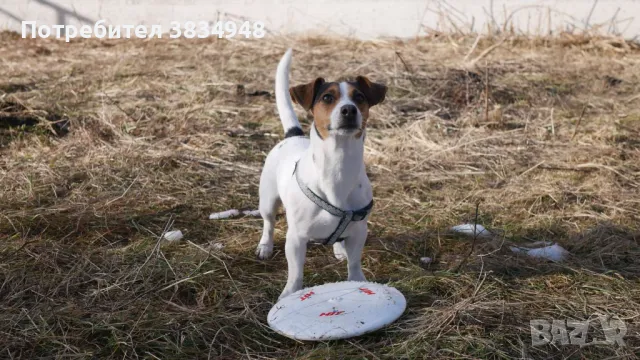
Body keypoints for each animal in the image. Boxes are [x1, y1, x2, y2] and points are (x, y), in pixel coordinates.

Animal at [258, 49, 388, 300]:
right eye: (327, 98)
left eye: (359, 97)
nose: (348, 109)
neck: (338, 164)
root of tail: (293, 135)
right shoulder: (296, 238)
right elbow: (295, 272)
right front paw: (289, 294)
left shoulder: (359, 231)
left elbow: (354, 262)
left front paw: (357, 280)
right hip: (267, 200)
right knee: (268, 223)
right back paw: (265, 246)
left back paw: (339, 249)